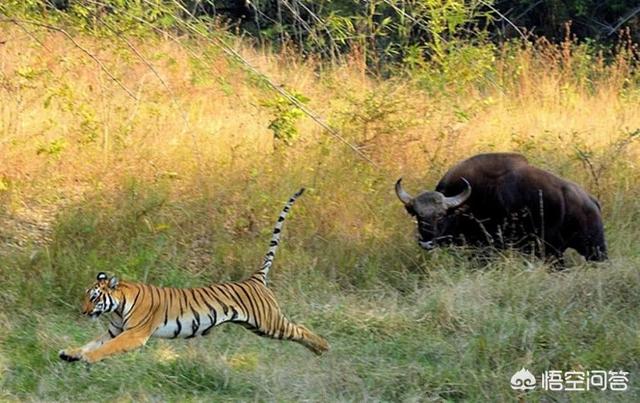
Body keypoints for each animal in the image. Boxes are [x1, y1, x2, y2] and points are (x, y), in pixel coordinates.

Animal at [60, 189, 330, 362]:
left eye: (94, 298)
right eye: (86, 296)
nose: (83, 312)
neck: (117, 305)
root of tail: (254, 278)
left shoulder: (133, 334)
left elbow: (105, 348)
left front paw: (87, 358)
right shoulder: (114, 331)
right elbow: (94, 341)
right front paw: (71, 353)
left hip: (269, 322)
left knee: (300, 328)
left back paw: (323, 348)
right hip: (260, 325)